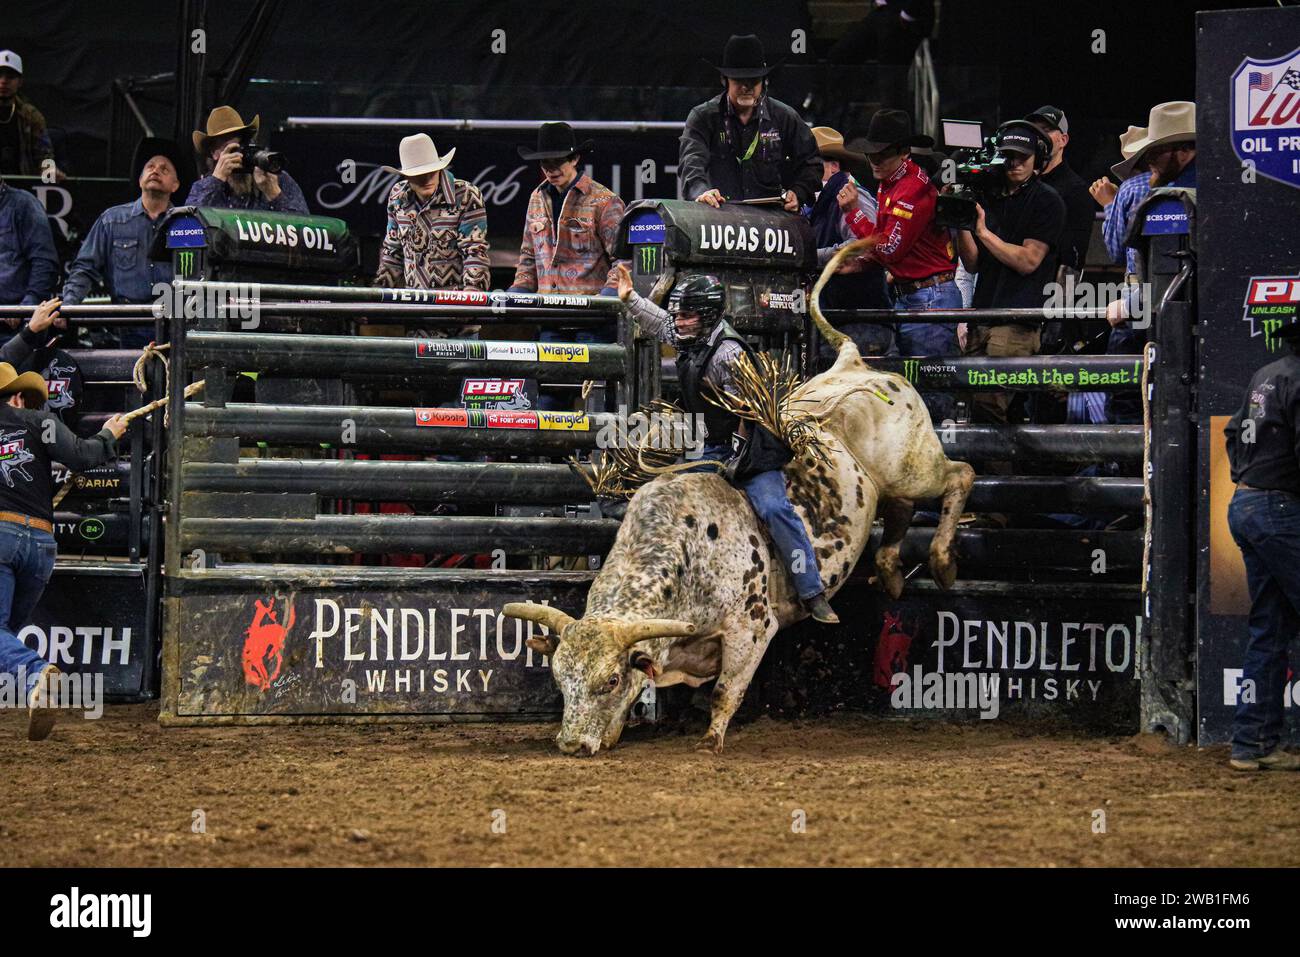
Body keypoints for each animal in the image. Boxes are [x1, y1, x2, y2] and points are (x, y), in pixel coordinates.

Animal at [501, 234, 972, 754]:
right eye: (561, 680)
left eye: (610, 680)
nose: (571, 745)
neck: (684, 556)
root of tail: (855, 364)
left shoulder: (752, 629)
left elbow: (726, 689)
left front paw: (710, 740)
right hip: (890, 483)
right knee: (902, 509)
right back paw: (889, 571)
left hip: (915, 465)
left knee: (959, 475)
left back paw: (943, 560)